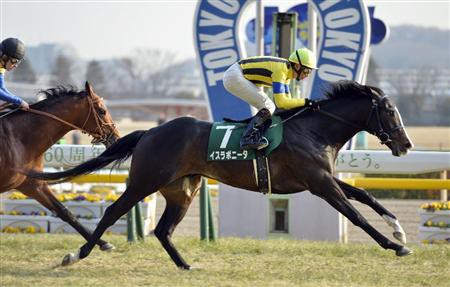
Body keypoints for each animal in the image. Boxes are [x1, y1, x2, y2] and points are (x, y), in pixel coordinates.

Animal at [0, 82, 119, 251]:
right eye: (102, 111)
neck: (18, 139)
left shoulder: (32, 183)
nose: (116, 137)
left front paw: (103, 243)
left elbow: (63, 211)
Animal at [27, 81, 414, 270]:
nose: (406, 144)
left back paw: (185, 266)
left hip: (183, 190)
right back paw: (76, 255)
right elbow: (356, 216)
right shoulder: (320, 184)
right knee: (111, 212)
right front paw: (395, 246)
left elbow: (367, 196)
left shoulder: (326, 178)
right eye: (390, 111)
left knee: (163, 230)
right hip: (145, 182)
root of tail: (150, 131)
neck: (315, 130)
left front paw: (399, 229)